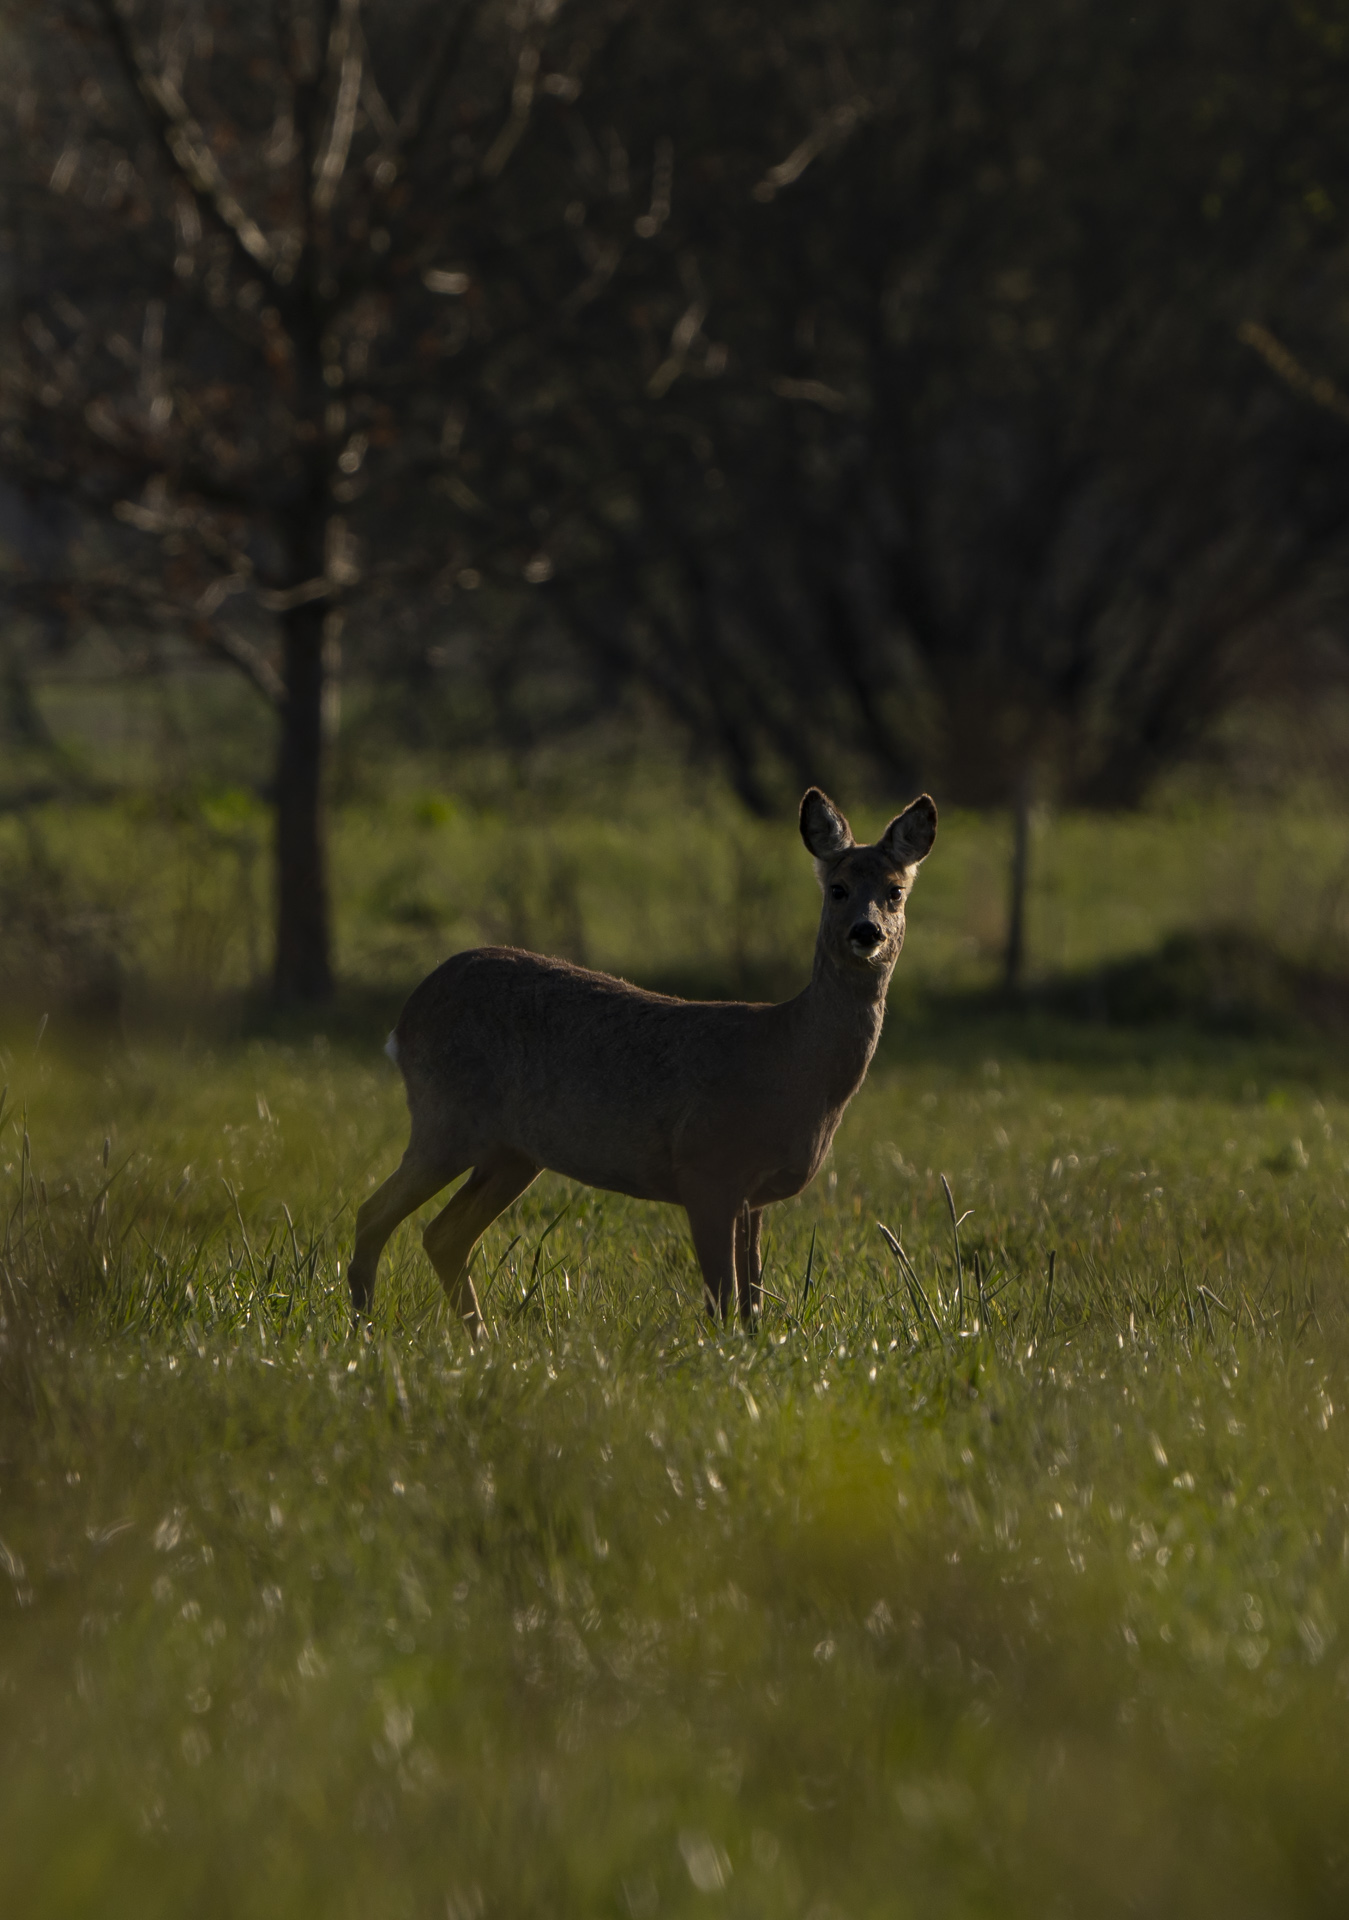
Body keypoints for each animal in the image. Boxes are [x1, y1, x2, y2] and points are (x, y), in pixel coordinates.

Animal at [349, 783, 940, 1336]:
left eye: (895, 892)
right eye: (838, 889)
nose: (867, 932)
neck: (794, 1063)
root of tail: (405, 1020)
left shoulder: (753, 1197)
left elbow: (752, 1304)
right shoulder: (705, 1167)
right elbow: (723, 1302)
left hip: (511, 1151)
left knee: (442, 1234)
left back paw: (479, 1339)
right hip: (447, 1117)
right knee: (374, 1214)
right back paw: (366, 1331)